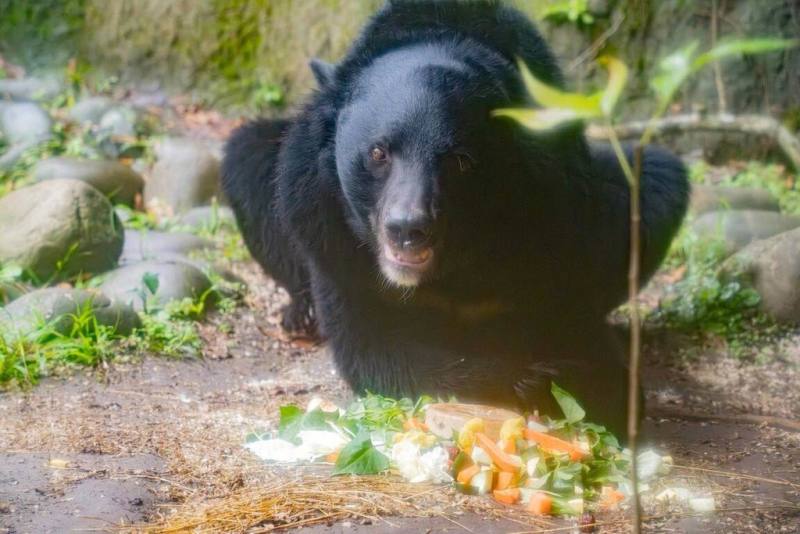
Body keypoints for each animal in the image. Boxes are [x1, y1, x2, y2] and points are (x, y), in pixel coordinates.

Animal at [222, 0, 689, 434]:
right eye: (378, 152)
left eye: (460, 161)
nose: (407, 230)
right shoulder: (330, 237)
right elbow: (377, 350)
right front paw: (525, 380)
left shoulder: (553, 222)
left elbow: (591, 351)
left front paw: (566, 383)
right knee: (247, 155)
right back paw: (300, 316)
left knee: (658, 177)